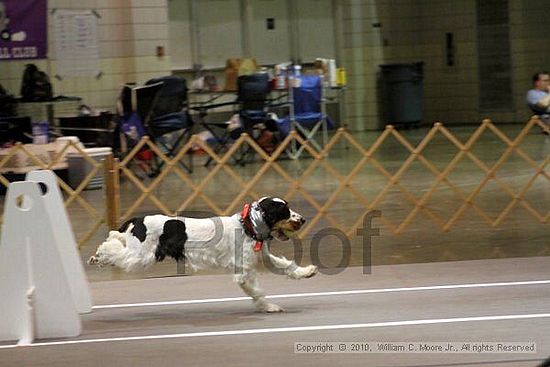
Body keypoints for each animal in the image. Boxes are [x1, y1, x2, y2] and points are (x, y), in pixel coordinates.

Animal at [88, 198, 316, 314]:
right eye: (284, 210)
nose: (303, 219)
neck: (247, 227)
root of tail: (138, 219)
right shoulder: (244, 272)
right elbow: (257, 291)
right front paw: (269, 307)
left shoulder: (263, 258)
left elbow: (287, 266)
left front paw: (307, 271)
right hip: (141, 257)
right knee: (114, 248)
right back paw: (98, 255)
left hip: (137, 251)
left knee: (116, 236)